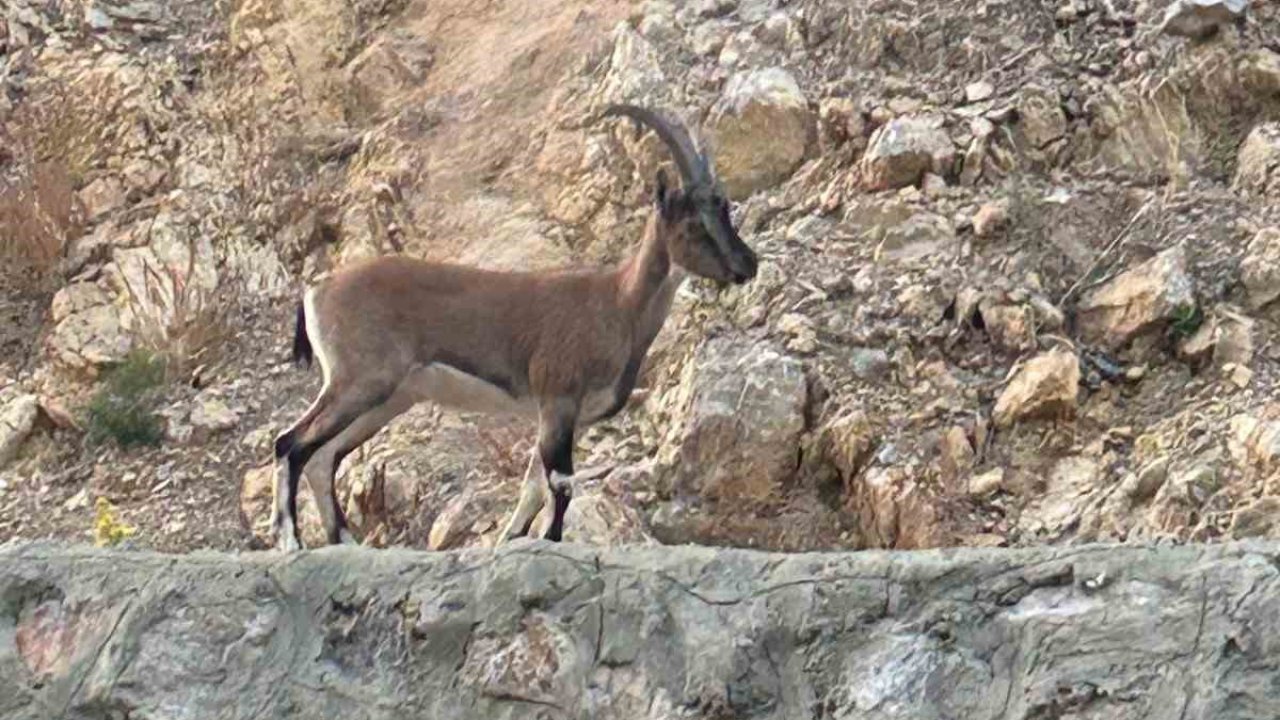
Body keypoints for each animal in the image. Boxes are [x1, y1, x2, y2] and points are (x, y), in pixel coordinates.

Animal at [268, 102, 747, 548]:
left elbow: (534, 485)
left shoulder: (566, 417)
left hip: (388, 398)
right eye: (693, 222)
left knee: (322, 455)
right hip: (361, 380)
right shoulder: (557, 400)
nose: (747, 264)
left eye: (725, 211)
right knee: (292, 443)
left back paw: (342, 540)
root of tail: (317, 291)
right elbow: (559, 483)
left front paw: (510, 539)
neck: (618, 302)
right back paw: (291, 540)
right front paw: (549, 541)